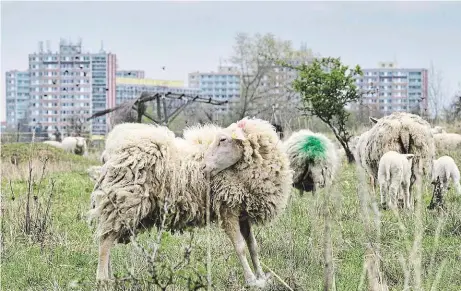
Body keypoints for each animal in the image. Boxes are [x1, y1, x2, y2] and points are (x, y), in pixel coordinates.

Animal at [201, 118, 292, 288]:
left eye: (223, 139)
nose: (203, 167)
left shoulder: (242, 212)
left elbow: (253, 246)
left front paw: (261, 276)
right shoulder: (227, 209)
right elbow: (240, 247)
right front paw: (251, 280)